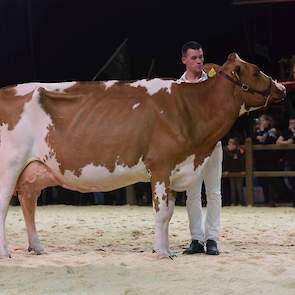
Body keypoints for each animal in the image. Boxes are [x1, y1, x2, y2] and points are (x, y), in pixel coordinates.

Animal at [0, 53, 286, 260]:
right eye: (256, 70)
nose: (282, 87)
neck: (190, 109)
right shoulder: (160, 165)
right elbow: (160, 214)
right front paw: (161, 253)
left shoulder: (175, 170)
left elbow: (168, 214)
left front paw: (165, 248)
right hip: (9, 166)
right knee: (4, 206)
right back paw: (6, 253)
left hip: (33, 172)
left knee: (28, 203)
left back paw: (37, 247)